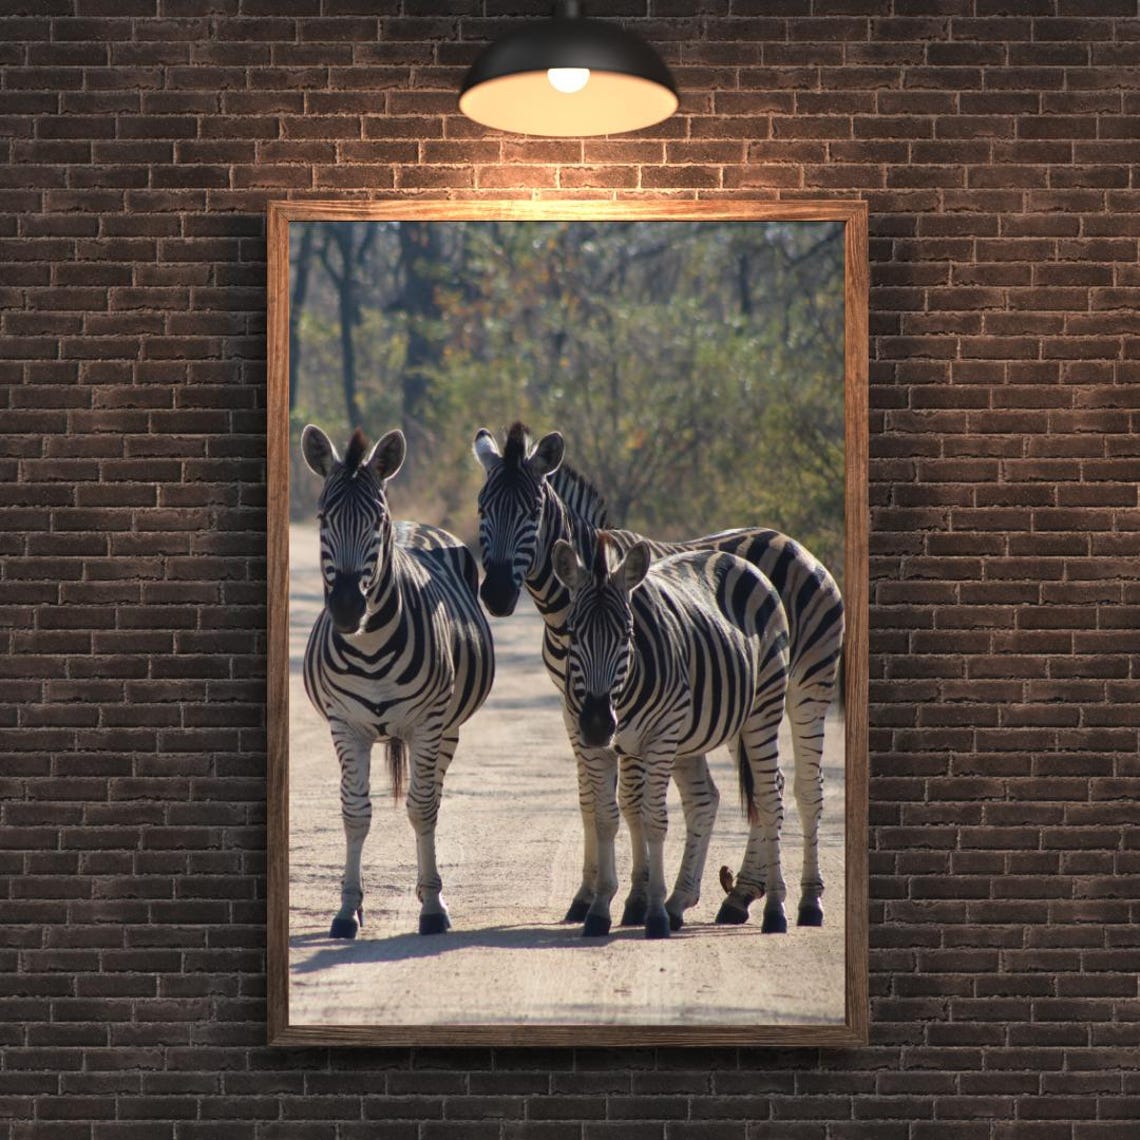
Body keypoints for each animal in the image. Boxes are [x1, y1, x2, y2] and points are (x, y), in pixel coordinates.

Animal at [301, 424, 495, 938]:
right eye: (323, 517)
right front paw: (347, 910)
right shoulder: (345, 726)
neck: (370, 650)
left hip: (448, 728)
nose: (348, 608)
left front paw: (432, 908)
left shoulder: (428, 724)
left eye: (377, 521)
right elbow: (355, 813)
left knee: (431, 800)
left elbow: (421, 809)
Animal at [550, 533, 791, 939]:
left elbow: (654, 820)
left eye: (627, 634)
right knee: (704, 800)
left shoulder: (659, 738)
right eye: (573, 633)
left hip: (763, 709)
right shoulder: (593, 745)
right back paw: (678, 903)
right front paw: (600, 910)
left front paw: (653, 916)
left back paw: (775, 911)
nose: (598, 723)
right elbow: (605, 818)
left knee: (770, 797)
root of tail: (737, 560)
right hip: (689, 738)